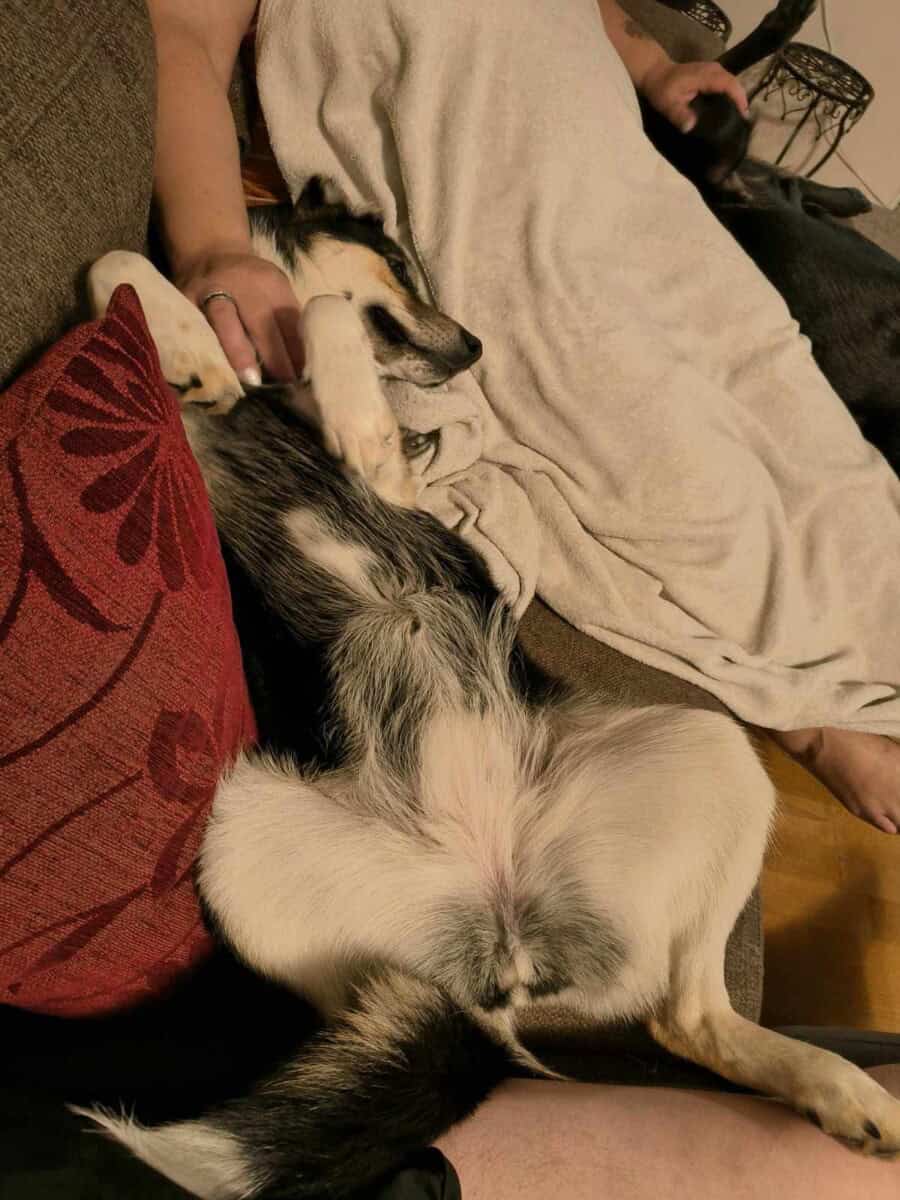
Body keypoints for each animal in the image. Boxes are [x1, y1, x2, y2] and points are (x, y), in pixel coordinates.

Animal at [75, 184, 900, 1197]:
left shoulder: (396, 475)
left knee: (689, 1017)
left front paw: (221, 359)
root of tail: (508, 943)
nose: (473, 347)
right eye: (401, 262)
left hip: (715, 751)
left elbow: (322, 321)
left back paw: (845, 1094)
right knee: (638, 1021)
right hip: (240, 846)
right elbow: (123, 266)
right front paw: (196, 350)